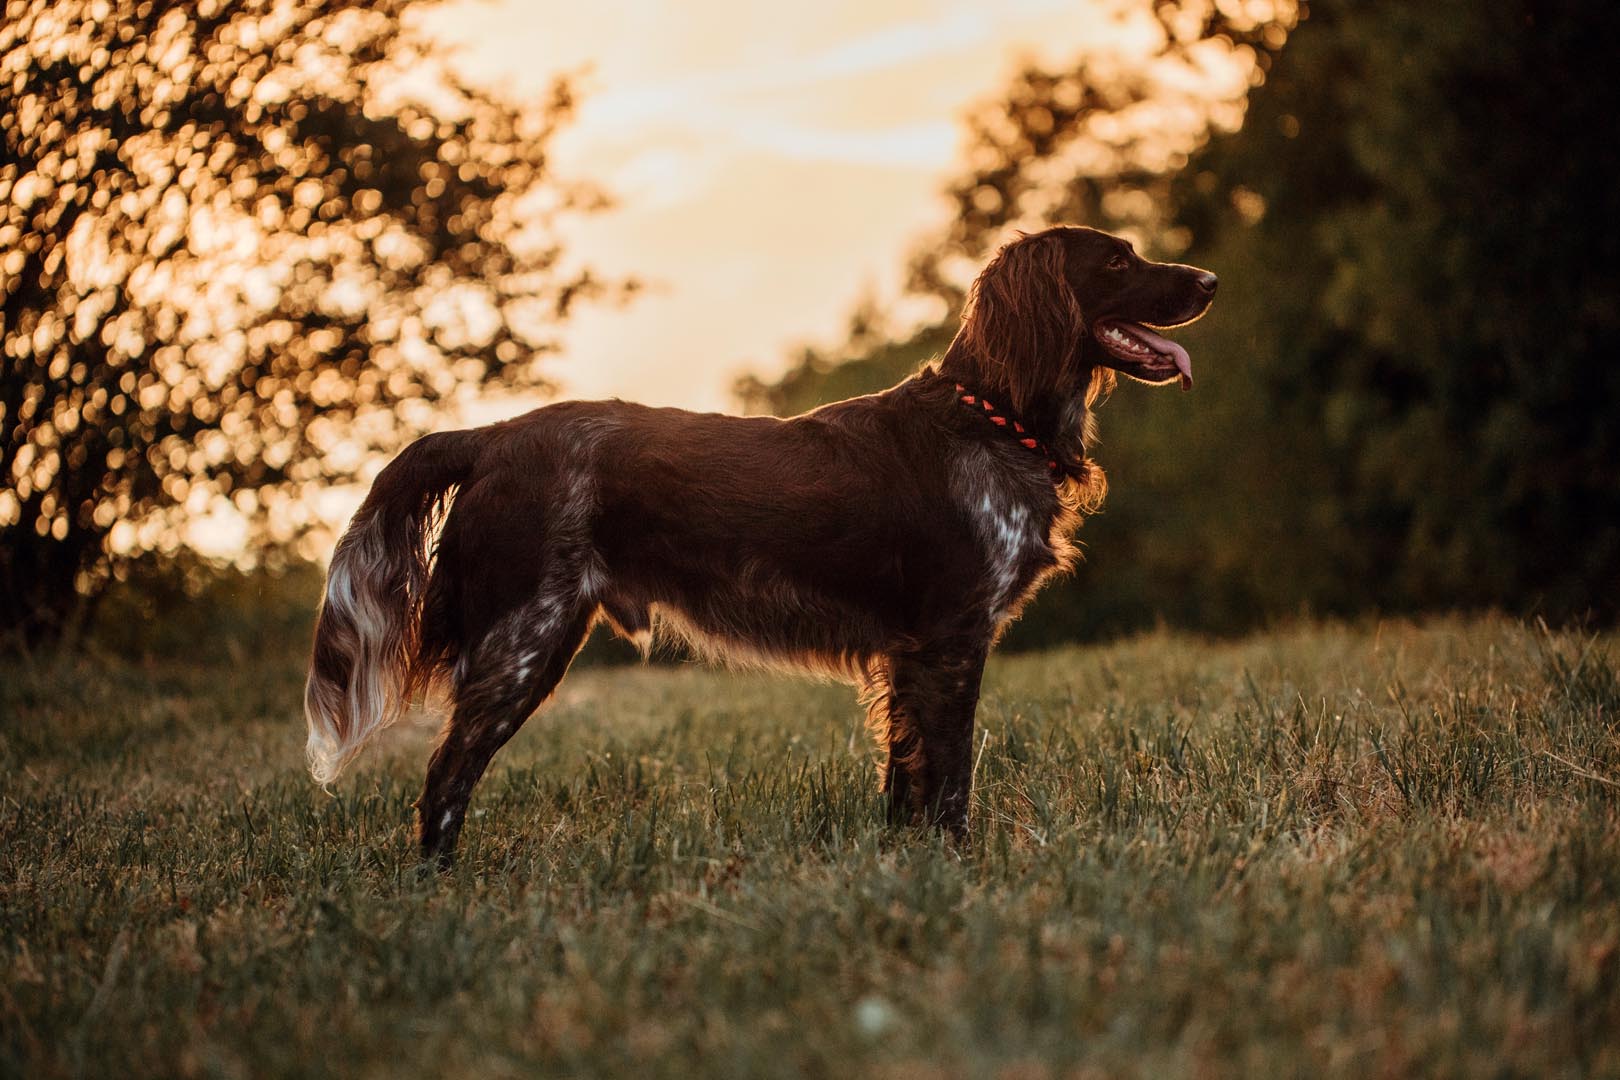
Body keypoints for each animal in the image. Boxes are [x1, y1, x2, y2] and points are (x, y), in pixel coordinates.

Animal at [304, 228, 1218, 867]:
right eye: (1118, 260)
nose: (1210, 280)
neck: (991, 417)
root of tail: (491, 437)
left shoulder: (909, 655)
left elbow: (907, 779)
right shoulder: (952, 640)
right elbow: (951, 778)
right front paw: (961, 869)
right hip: (522, 643)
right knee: (445, 777)